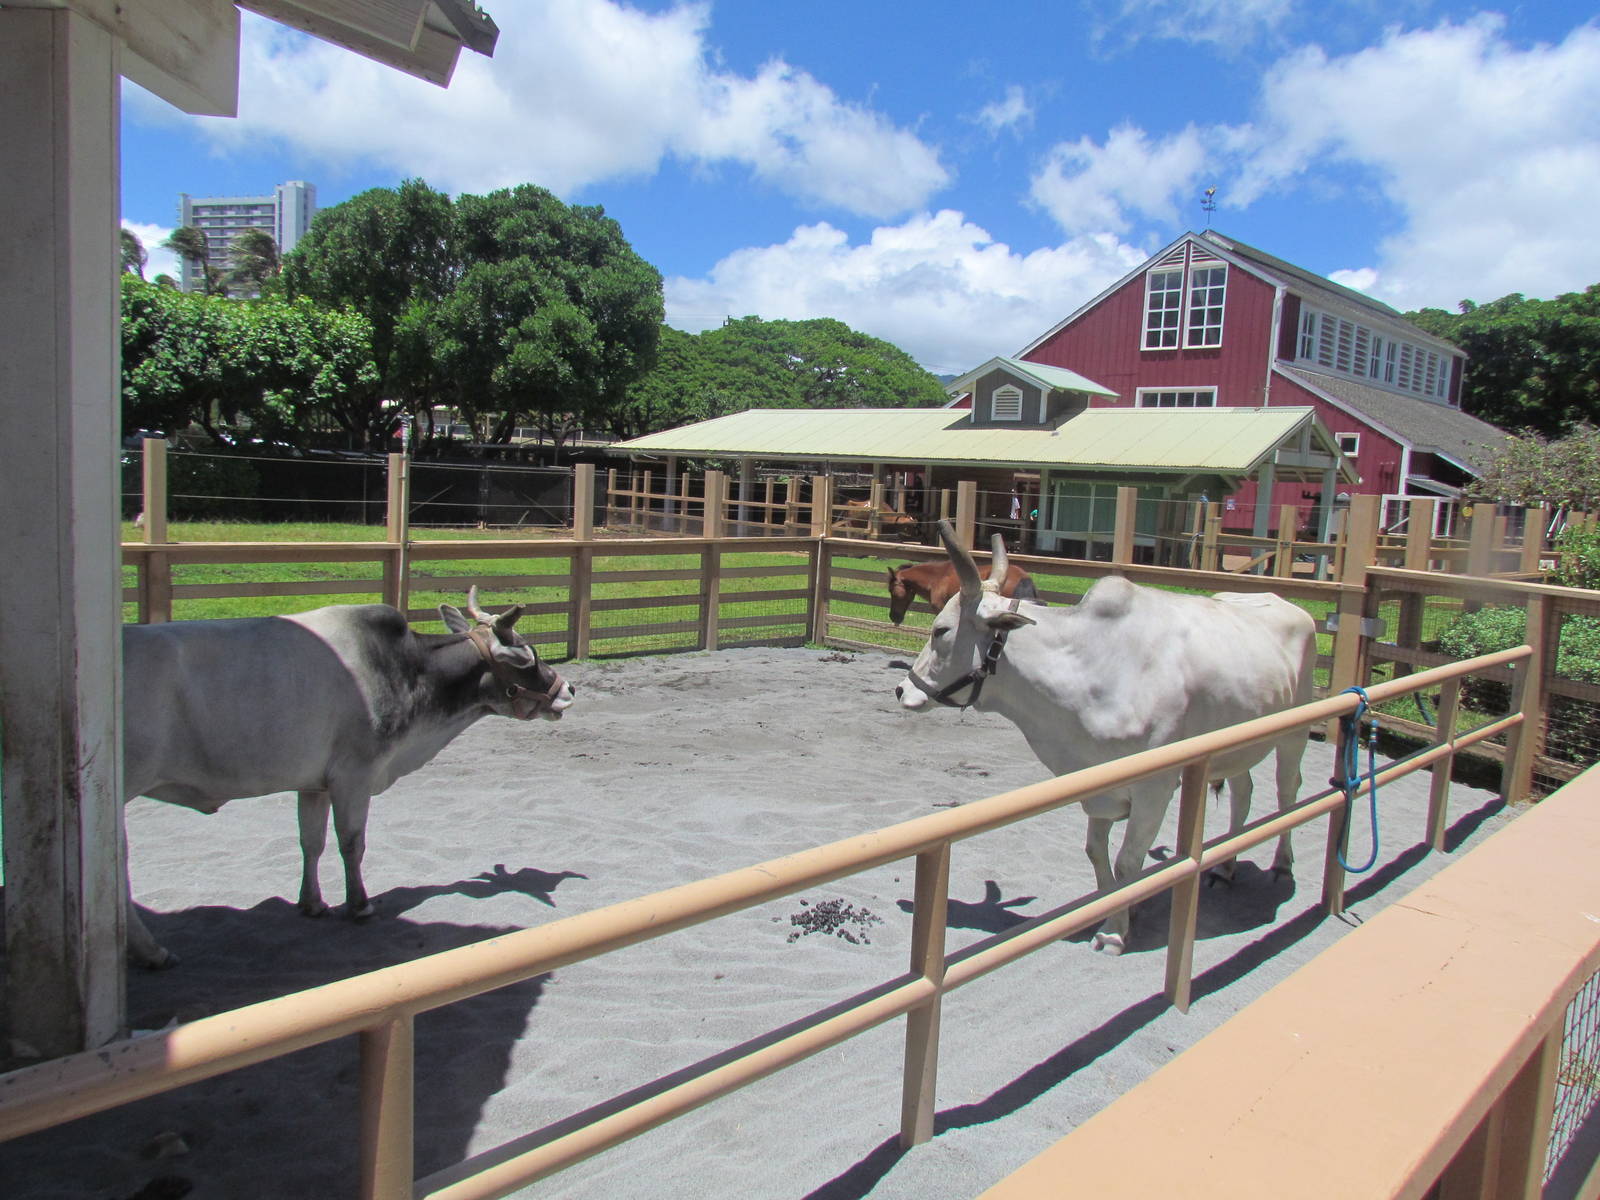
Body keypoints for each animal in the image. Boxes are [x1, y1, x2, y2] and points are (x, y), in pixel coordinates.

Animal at [121, 587, 574, 968]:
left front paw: (312, 903)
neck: (407, 671)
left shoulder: (313, 784)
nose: (567, 689)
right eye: (528, 658)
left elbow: (311, 842)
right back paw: (151, 951)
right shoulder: (354, 775)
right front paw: (359, 905)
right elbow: (351, 843)